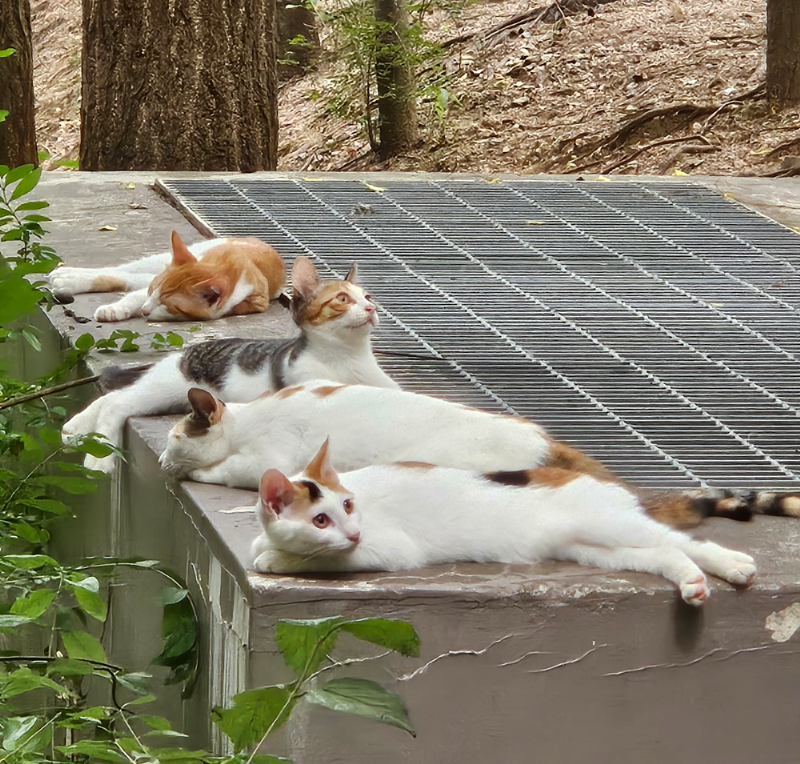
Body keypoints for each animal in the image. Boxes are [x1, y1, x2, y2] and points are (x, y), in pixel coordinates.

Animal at [48, 228, 286, 320]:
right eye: (154, 292)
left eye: (168, 304)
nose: (145, 311)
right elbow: (135, 294)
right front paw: (116, 308)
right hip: (164, 259)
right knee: (119, 271)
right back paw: (68, 276)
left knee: (127, 278)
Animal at [63, 258, 396, 472]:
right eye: (342, 299)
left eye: (367, 296)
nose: (371, 307)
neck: (349, 356)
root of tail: (184, 352)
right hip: (166, 388)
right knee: (115, 404)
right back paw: (99, 458)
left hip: (168, 397)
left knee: (115, 396)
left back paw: (76, 427)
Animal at [253, 438, 760, 604]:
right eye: (321, 519)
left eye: (348, 507)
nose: (355, 530)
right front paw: (267, 546)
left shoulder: (388, 549)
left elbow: (326, 560)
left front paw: (276, 559)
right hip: (591, 547)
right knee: (666, 551)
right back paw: (691, 584)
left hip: (613, 525)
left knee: (687, 543)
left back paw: (733, 565)